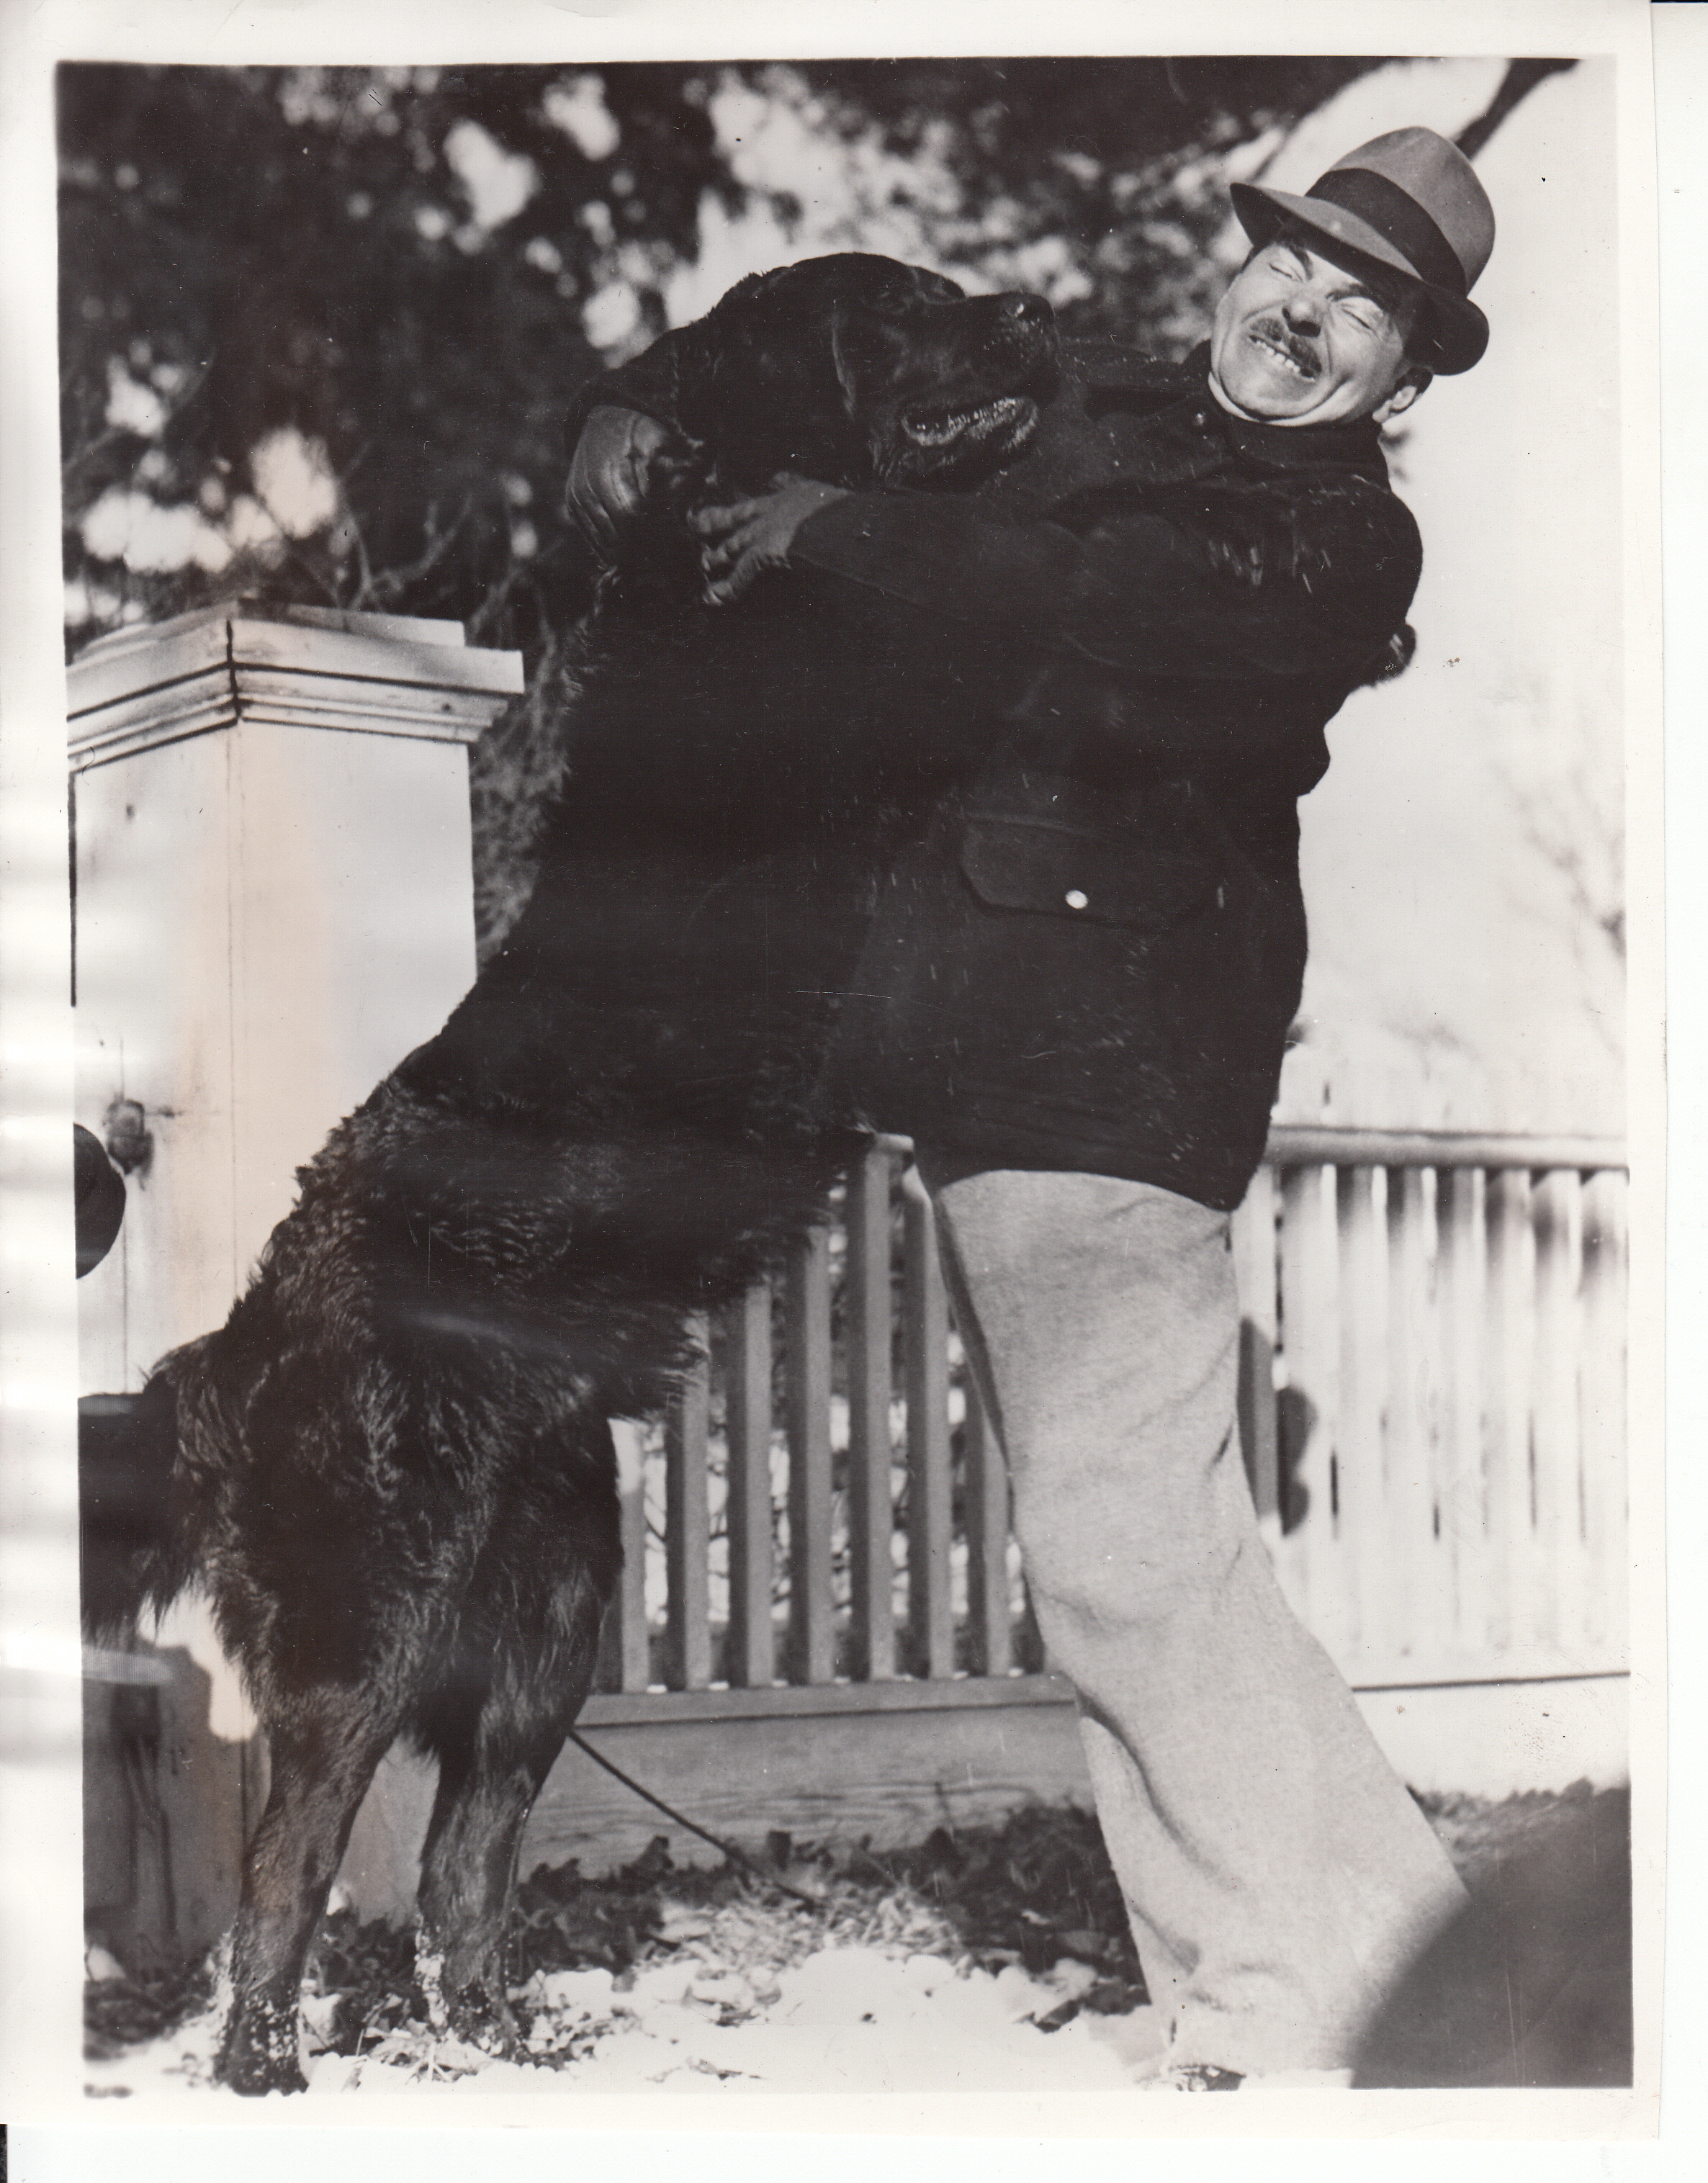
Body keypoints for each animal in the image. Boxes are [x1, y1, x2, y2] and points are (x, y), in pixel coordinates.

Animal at [82, 253, 1060, 2094]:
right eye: (901, 308)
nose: (1040, 312)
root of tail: (233, 1347)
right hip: (367, 1627)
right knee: (288, 1864)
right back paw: (268, 2064)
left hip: (548, 1623)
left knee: (463, 1867)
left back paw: (495, 2042)